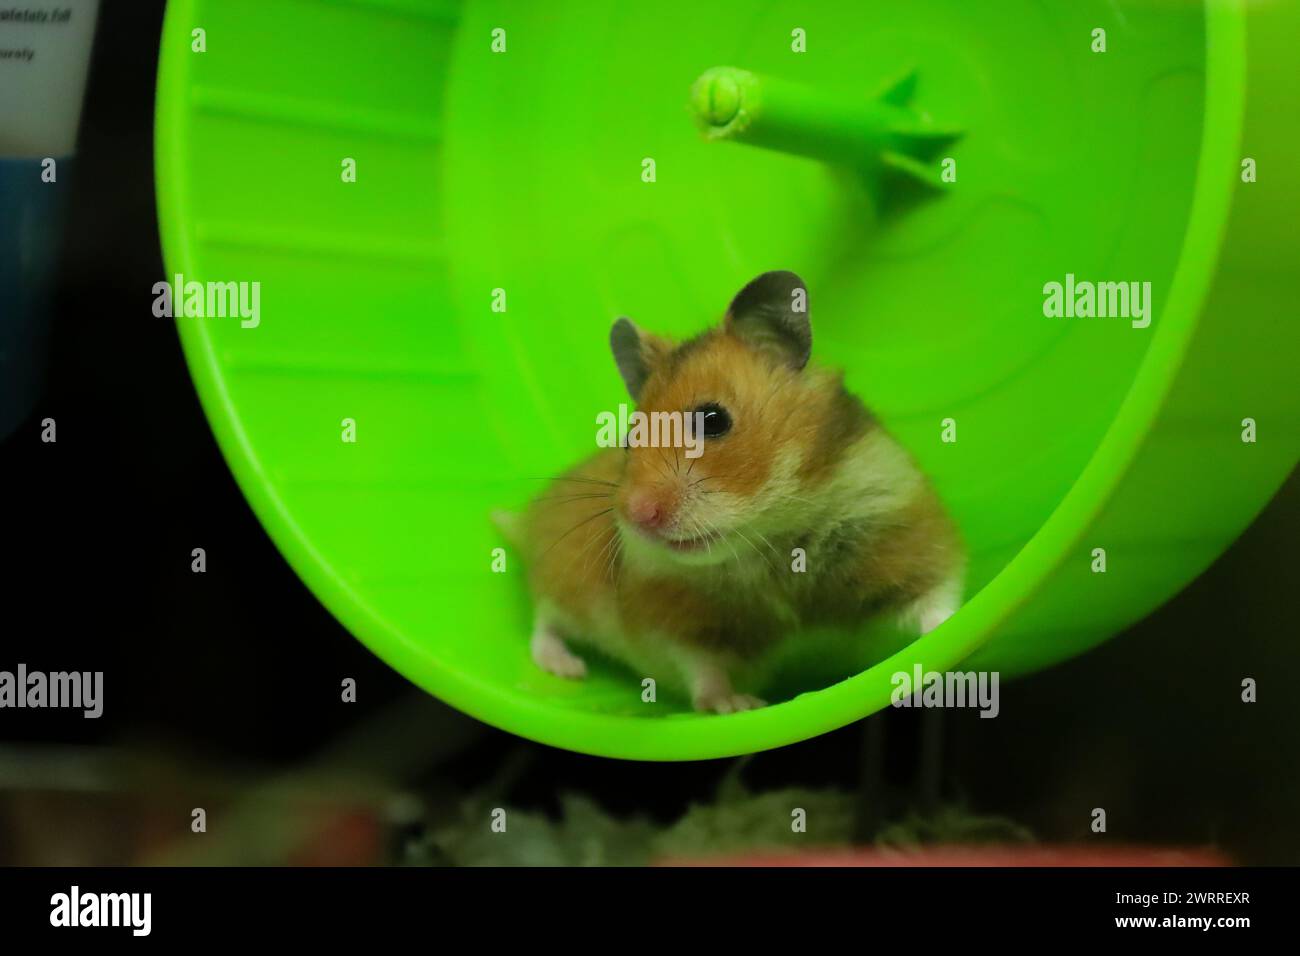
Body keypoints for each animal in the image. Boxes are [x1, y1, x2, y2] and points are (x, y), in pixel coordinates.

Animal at [497, 271, 964, 714]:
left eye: (712, 420)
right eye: (629, 439)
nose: (635, 515)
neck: (769, 539)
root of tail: (526, 523)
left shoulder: (902, 533)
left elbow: (936, 598)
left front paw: (950, 638)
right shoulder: (674, 619)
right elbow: (703, 667)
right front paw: (737, 705)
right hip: (564, 580)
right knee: (544, 621)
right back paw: (567, 668)